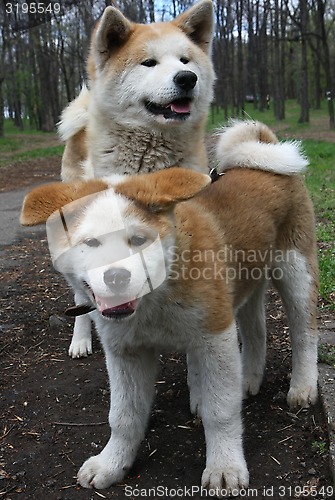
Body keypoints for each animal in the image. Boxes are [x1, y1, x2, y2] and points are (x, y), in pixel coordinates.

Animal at [21, 122, 320, 492]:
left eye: (139, 240)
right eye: (90, 243)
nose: (116, 277)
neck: (156, 295)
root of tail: (263, 152)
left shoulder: (215, 336)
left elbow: (221, 411)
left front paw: (225, 466)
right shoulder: (125, 352)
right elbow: (123, 416)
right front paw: (113, 463)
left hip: (295, 271)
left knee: (305, 333)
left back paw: (302, 386)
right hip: (243, 287)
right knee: (256, 332)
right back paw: (249, 379)